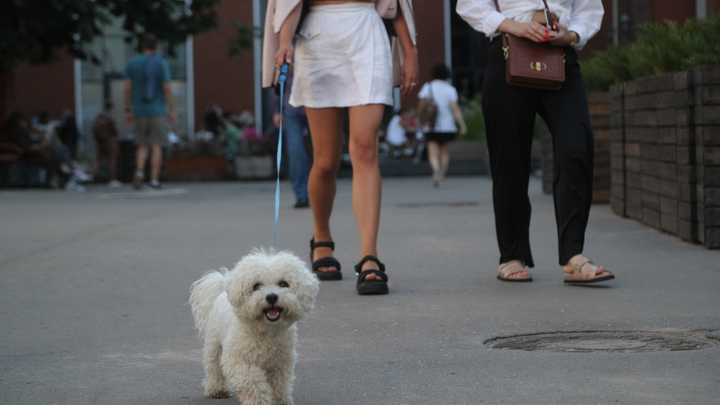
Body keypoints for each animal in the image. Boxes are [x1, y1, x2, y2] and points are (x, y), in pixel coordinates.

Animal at [190, 249, 320, 404]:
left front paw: (279, 400)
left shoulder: (281, 363)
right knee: (213, 367)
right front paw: (258, 401)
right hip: (214, 344)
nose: (271, 297)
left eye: (283, 284)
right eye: (256, 286)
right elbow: (253, 383)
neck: (267, 331)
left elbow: (279, 383)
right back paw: (217, 389)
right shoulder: (240, 362)